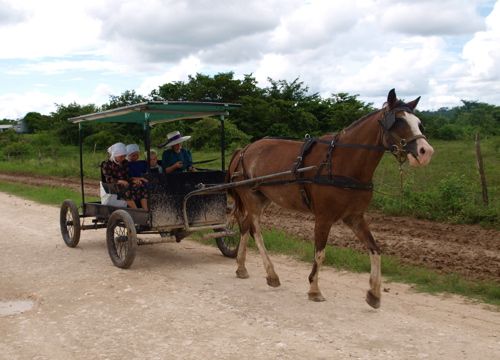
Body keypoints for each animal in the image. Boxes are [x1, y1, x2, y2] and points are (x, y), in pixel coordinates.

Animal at [227, 88, 434, 308]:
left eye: (419, 123)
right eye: (398, 121)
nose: (426, 152)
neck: (343, 163)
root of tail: (244, 149)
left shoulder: (354, 217)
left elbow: (375, 250)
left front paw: (374, 293)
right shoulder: (324, 217)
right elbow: (320, 253)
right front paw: (314, 289)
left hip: (262, 198)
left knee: (245, 226)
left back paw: (241, 267)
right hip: (251, 198)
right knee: (255, 231)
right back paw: (271, 274)